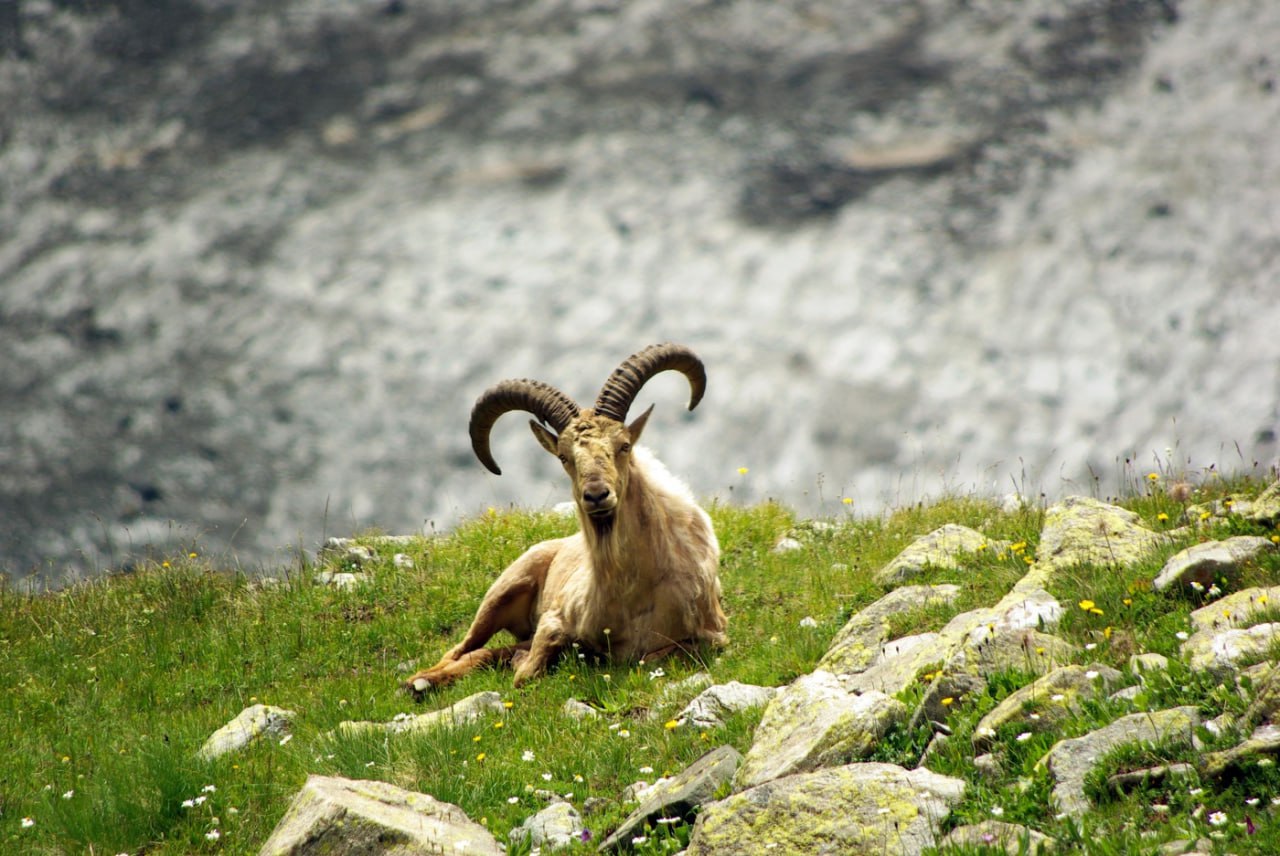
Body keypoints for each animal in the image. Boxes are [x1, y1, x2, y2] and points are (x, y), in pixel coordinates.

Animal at [409, 342, 732, 696]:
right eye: (564, 457)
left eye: (624, 445)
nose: (597, 495)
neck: (631, 593)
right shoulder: (556, 615)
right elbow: (530, 667)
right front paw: (530, 663)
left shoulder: (713, 633)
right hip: (503, 589)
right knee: (462, 649)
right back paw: (418, 682)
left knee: (483, 651)